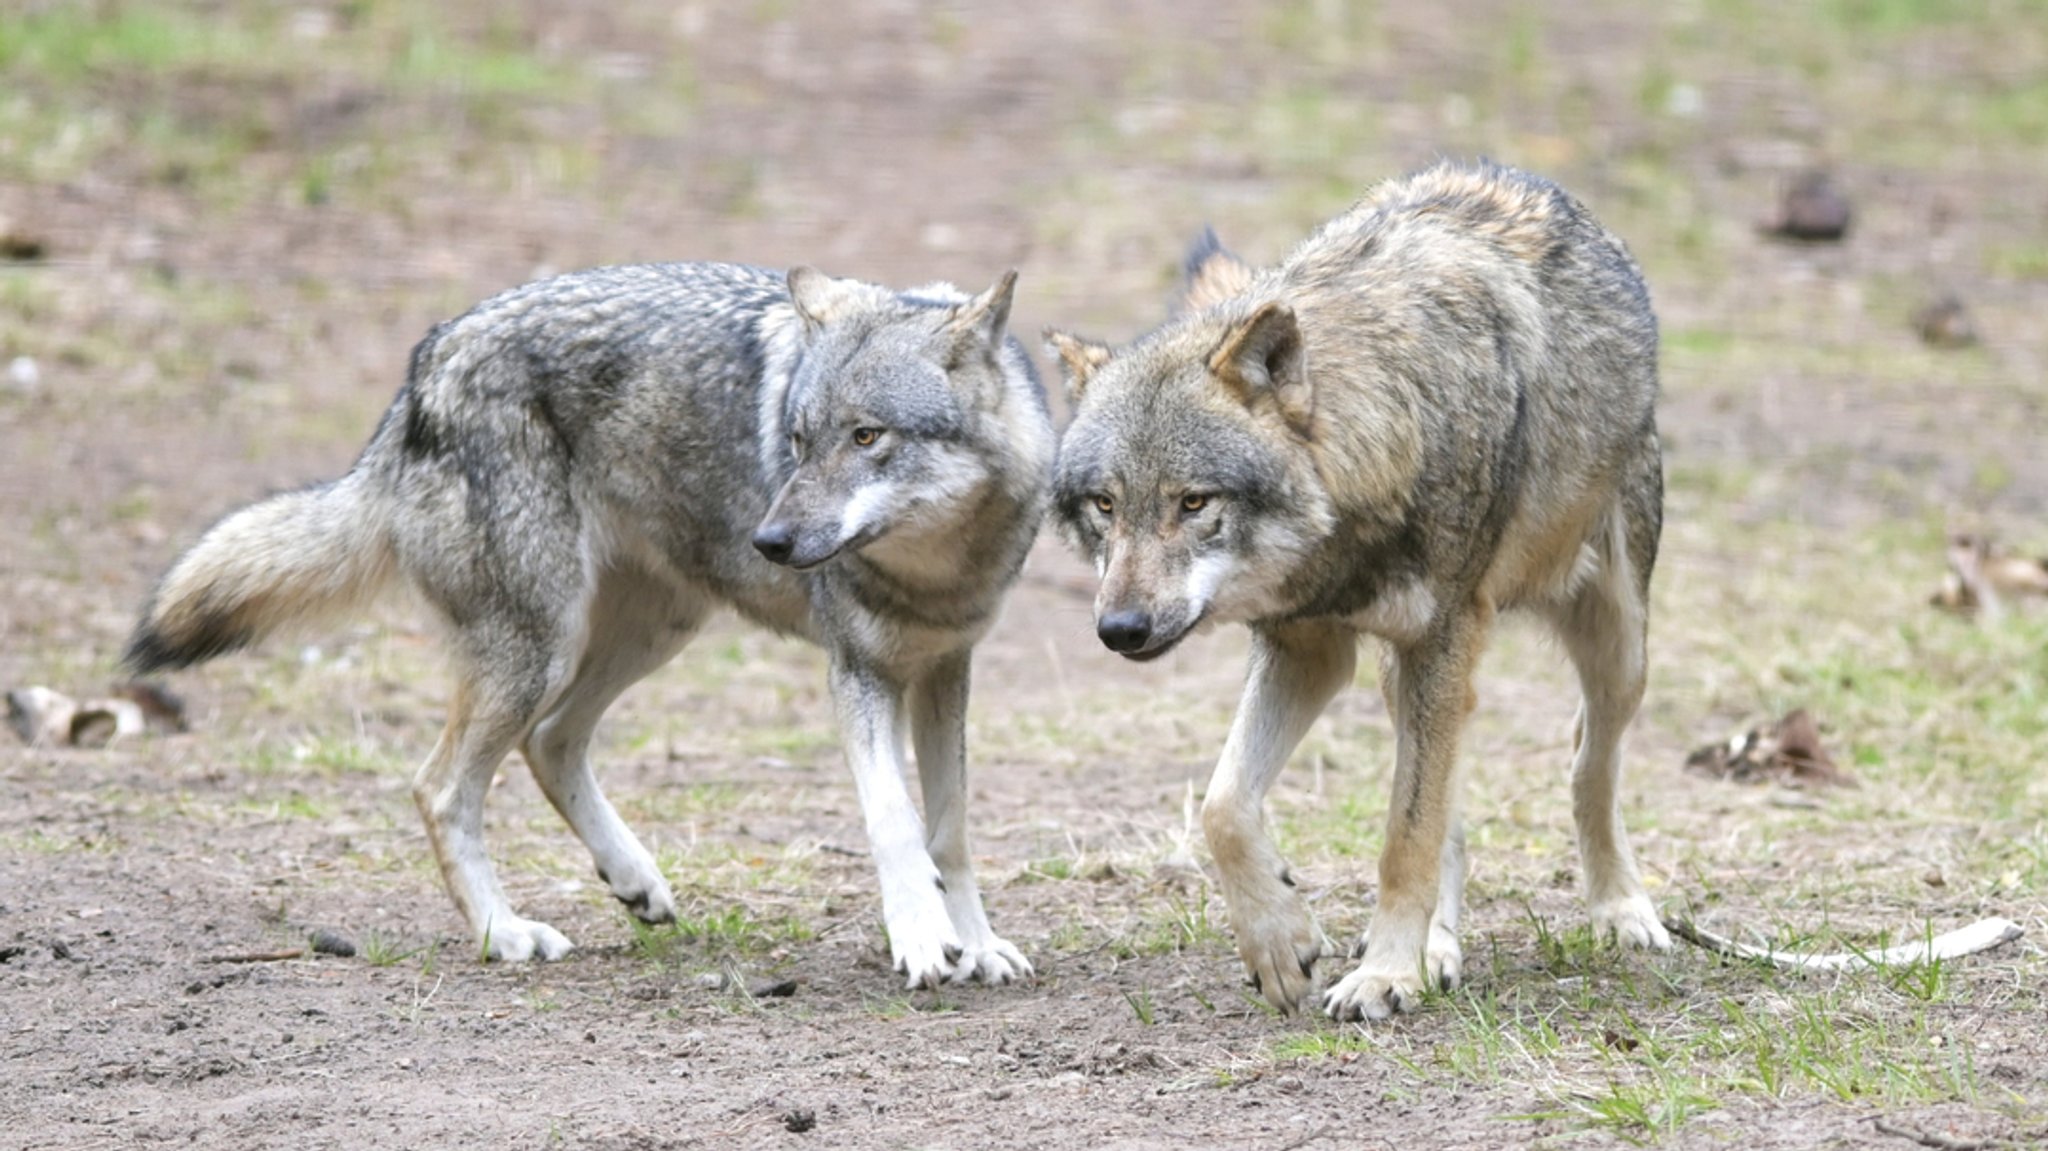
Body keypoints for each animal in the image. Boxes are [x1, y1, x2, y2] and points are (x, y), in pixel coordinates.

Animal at [128, 262, 1056, 987]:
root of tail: (425, 365)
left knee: (550, 742)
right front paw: (923, 940)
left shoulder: (944, 670)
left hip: (648, 632)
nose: (771, 540)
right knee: (441, 785)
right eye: (796, 440)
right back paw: (504, 933)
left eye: (867, 437)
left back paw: (632, 879)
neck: (937, 569)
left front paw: (976, 943)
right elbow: (895, 820)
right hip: (539, 650)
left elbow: (949, 829)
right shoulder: (858, 672)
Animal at [1048, 158, 1671, 1011]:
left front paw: (1383, 973)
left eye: (1194, 501)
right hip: (1403, 674)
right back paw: (1438, 950)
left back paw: (1621, 908)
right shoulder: (1308, 649)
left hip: (1616, 646)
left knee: (1586, 762)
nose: (1121, 630)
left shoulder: (1441, 637)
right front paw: (1284, 941)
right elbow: (1224, 805)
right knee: (1453, 809)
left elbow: (1405, 837)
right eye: (1105, 505)